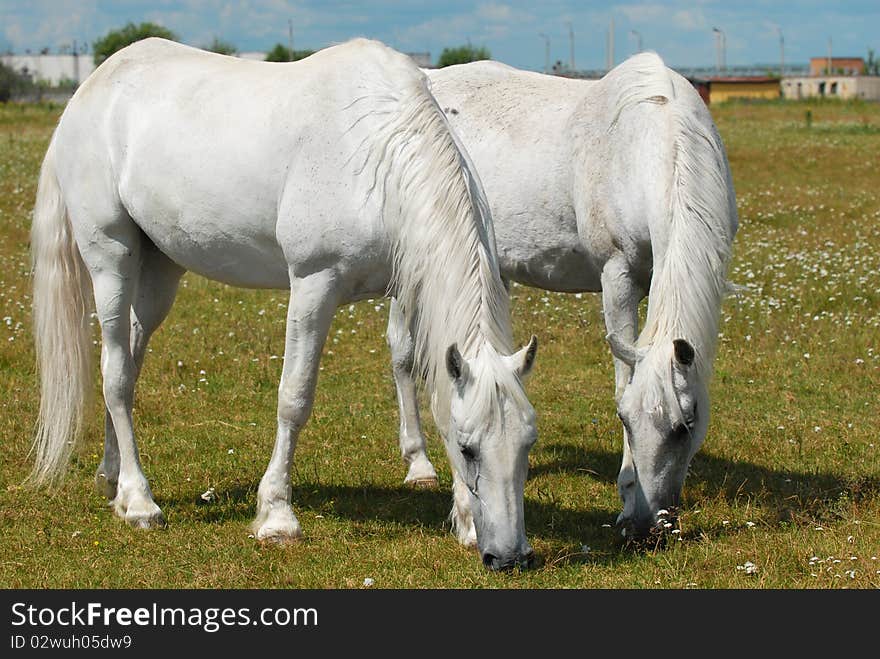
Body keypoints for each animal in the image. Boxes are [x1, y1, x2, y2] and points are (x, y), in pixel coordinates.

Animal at [31, 37, 540, 572]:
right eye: (469, 449)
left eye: (527, 444)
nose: (510, 558)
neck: (378, 149)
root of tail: (90, 89)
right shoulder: (314, 286)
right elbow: (294, 399)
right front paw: (277, 517)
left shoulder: (411, 289)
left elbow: (437, 394)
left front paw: (464, 522)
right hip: (111, 260)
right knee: (114, 373)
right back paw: (139, 502)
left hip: (157, 273)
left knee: (127, 368)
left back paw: (112, 480)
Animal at [388, 52, 740, 540]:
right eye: (625, 421)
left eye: (686, 426)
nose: (645, 527)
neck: (650, 144)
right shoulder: (618, 275)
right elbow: (622, 378)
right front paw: (625, 495)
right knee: (403, 354)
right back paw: (419, 465)